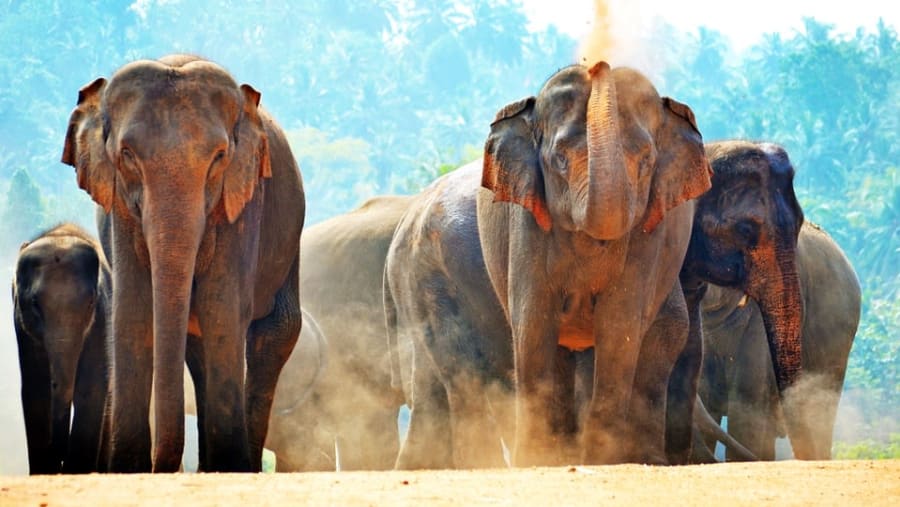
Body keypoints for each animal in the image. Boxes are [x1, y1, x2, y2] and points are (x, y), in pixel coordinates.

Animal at [12, 223, 111, 474]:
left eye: (91, 303)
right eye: (34, 303)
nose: (59, 455)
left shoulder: (102, 320)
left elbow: (91, 389)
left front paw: (77, 470)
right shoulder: (23, 328)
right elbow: (35, 391)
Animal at [62, 54, 304, 472]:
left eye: (219, 157)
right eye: (127, 155)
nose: (162, 467)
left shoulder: (242, 203)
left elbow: (221, 308)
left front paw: (231, 466)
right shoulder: (120, 211)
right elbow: (133, 311)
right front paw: (127, 469)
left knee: (274, 332)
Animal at [385, 62, 716, 468]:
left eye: (646, 163)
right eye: (559, 159)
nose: (597, 64)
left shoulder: (651, 232)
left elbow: (620, 323)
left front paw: (602, 458)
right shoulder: (525, 222)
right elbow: (533, 320)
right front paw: (536, 458)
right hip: (430, 277)